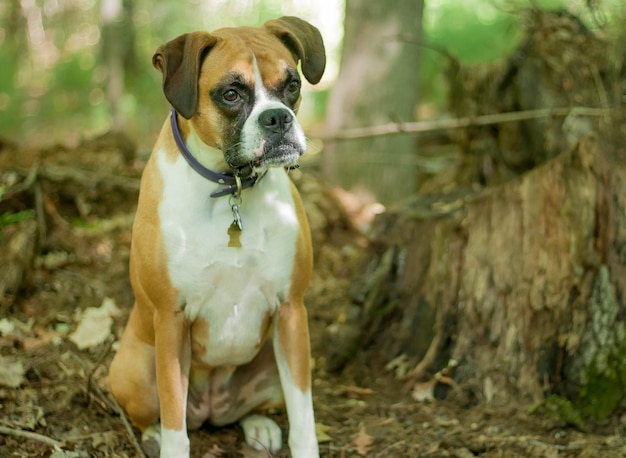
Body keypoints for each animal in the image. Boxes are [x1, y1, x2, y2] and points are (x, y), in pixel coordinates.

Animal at [110, 16, 326, 456]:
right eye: (231, 93)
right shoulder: (171, 319)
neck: (231, 189)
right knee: (156, 415)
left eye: (292, 85)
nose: (277, 118)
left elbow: (303, 418)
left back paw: (258, 424)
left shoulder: (292, 311)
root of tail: (210, 408)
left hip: (276, 363)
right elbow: (175, 423)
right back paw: (152, 434)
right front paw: (168, 441)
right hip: (133, 370)